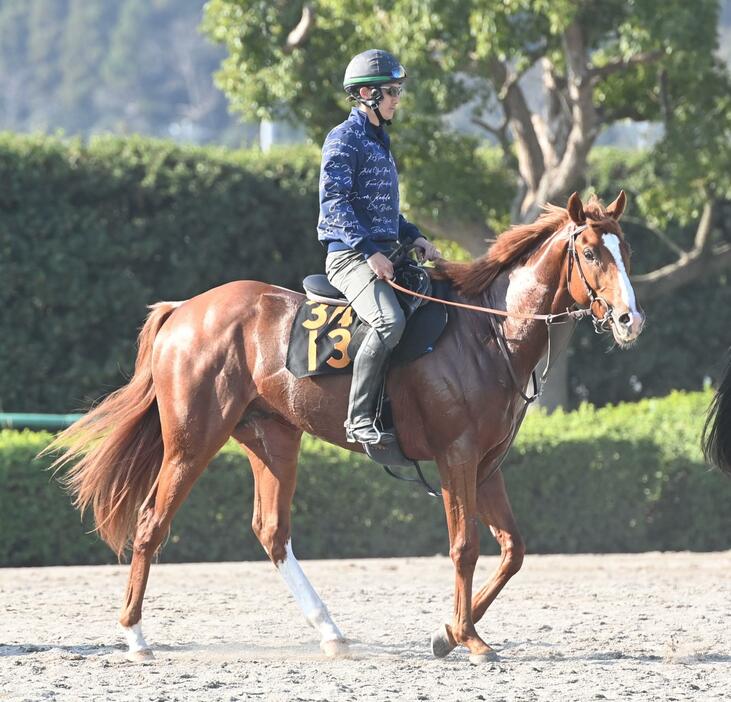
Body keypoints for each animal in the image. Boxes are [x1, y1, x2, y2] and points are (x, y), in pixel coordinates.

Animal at [50, 191, 648, 664]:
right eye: (590, 252)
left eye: (625, 251)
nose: (630, 320)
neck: (487, 333)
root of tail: (184, 310)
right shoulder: (456, 458)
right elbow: (465, 547)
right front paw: (467, 637)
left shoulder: (486, 465)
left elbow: (513, 549)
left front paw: (447, 633)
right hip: (192, 442)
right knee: (152, 524)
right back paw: (136, 636)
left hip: (273, 439)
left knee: (272, 531)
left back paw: (331, 633)